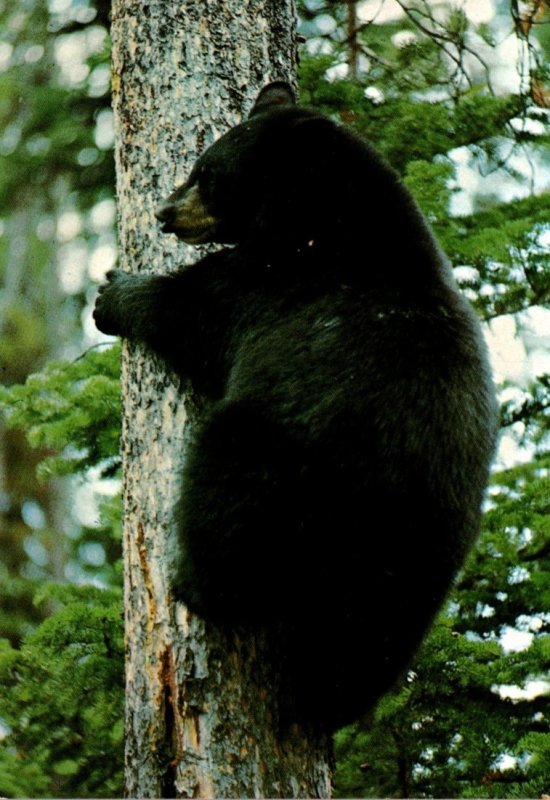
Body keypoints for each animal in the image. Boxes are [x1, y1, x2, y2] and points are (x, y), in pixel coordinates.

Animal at [95, 81, 500, 732]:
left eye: (207, 174)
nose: (164, 212)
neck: (330, 223)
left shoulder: (269, 285)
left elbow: (193, 310)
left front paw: (117, 294)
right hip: (423, 567)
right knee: (369, 642)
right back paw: (329, 701)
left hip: (276, 458)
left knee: (226, 493)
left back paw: (196, 584)